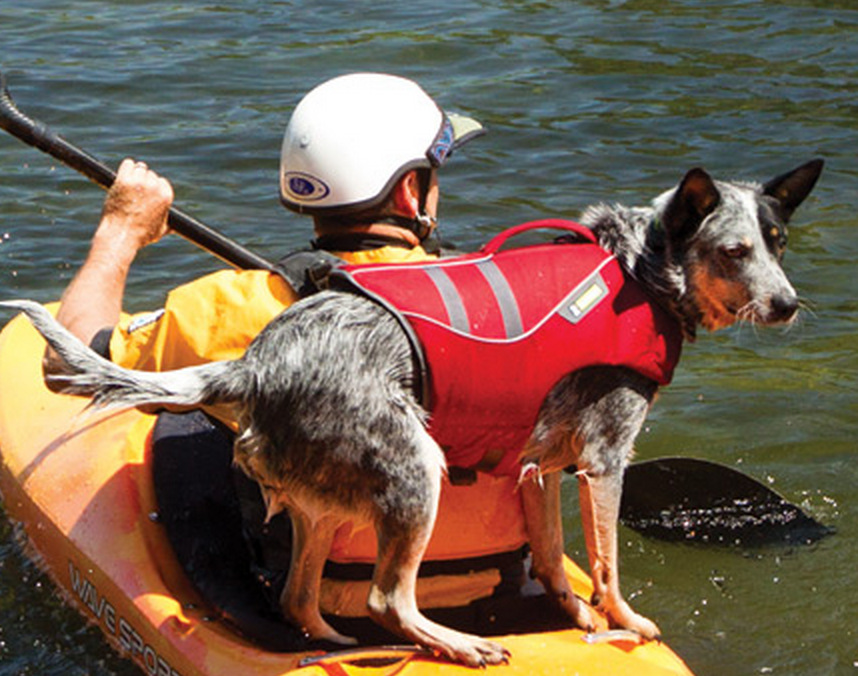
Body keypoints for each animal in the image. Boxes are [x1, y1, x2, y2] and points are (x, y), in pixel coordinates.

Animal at [5, 157, 824, 664]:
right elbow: (607, 565)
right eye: (733, 251)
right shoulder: (602, 461)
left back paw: (343, 646)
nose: (788, 306)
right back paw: (456, 644)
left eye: (778, 242)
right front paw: (623, 621)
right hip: (415, 471)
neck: (639, 268)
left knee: (301, 600)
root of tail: (258, 363)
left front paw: (579, 617)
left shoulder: (536, 466)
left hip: (329, 504)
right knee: (386, 597)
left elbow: (556, 561)